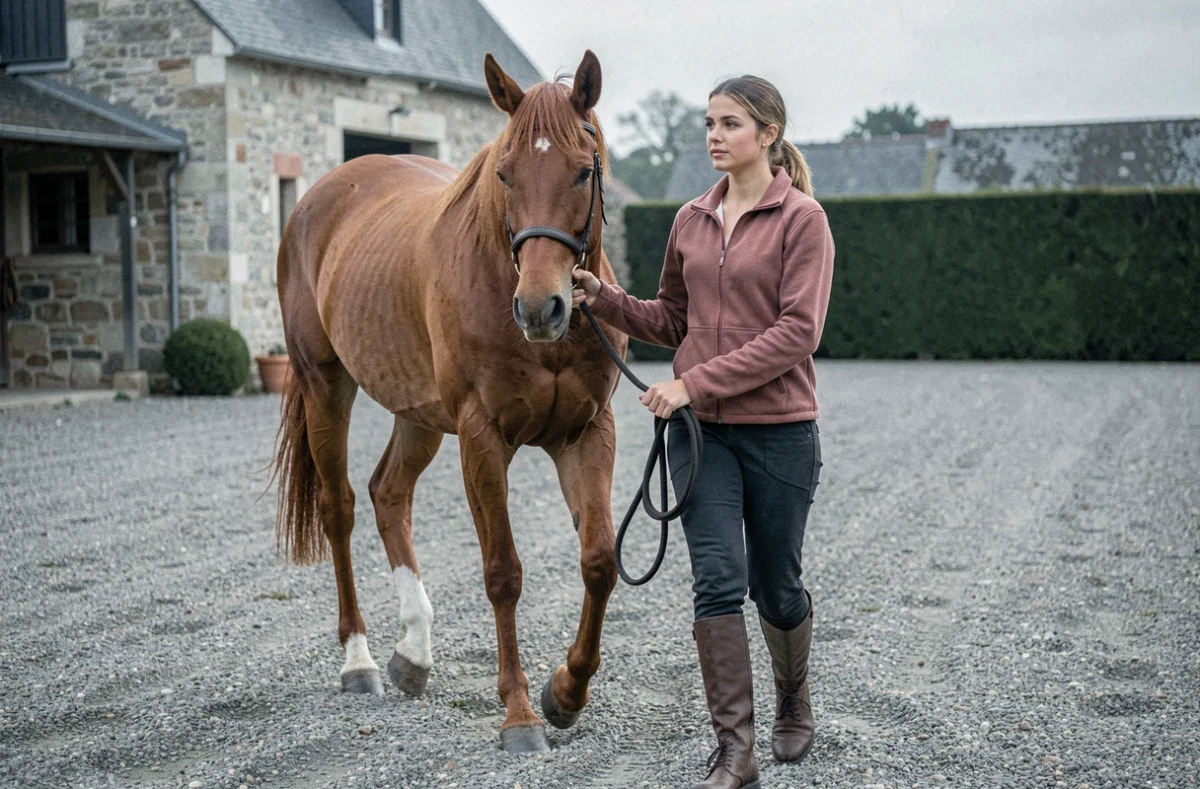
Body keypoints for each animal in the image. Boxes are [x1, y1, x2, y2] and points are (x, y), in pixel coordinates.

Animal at [271, 50, 627, 754]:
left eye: (583, 168)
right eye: (505, 173)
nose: (540, 309)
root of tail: (316, 200)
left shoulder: (586, 433)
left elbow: (599, 561)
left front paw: (566, 693)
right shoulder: (484, 437)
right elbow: (502, 572)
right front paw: (520, 715)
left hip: (419, 417)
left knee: (388, 494)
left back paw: (414, 653)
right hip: (327, 385)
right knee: (340, 509)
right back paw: (360, 661)